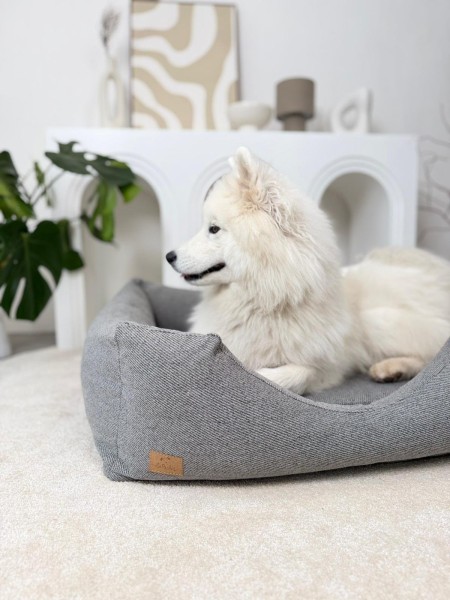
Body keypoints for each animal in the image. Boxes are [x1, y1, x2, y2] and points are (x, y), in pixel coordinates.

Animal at [166, 147, 450, 395]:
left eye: (214, 229)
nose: (169, 256)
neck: (262, 301)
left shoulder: (330, 366)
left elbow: (298, 372)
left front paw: (261, 375)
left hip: (382, 320)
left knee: (430, 354)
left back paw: (392, 367)